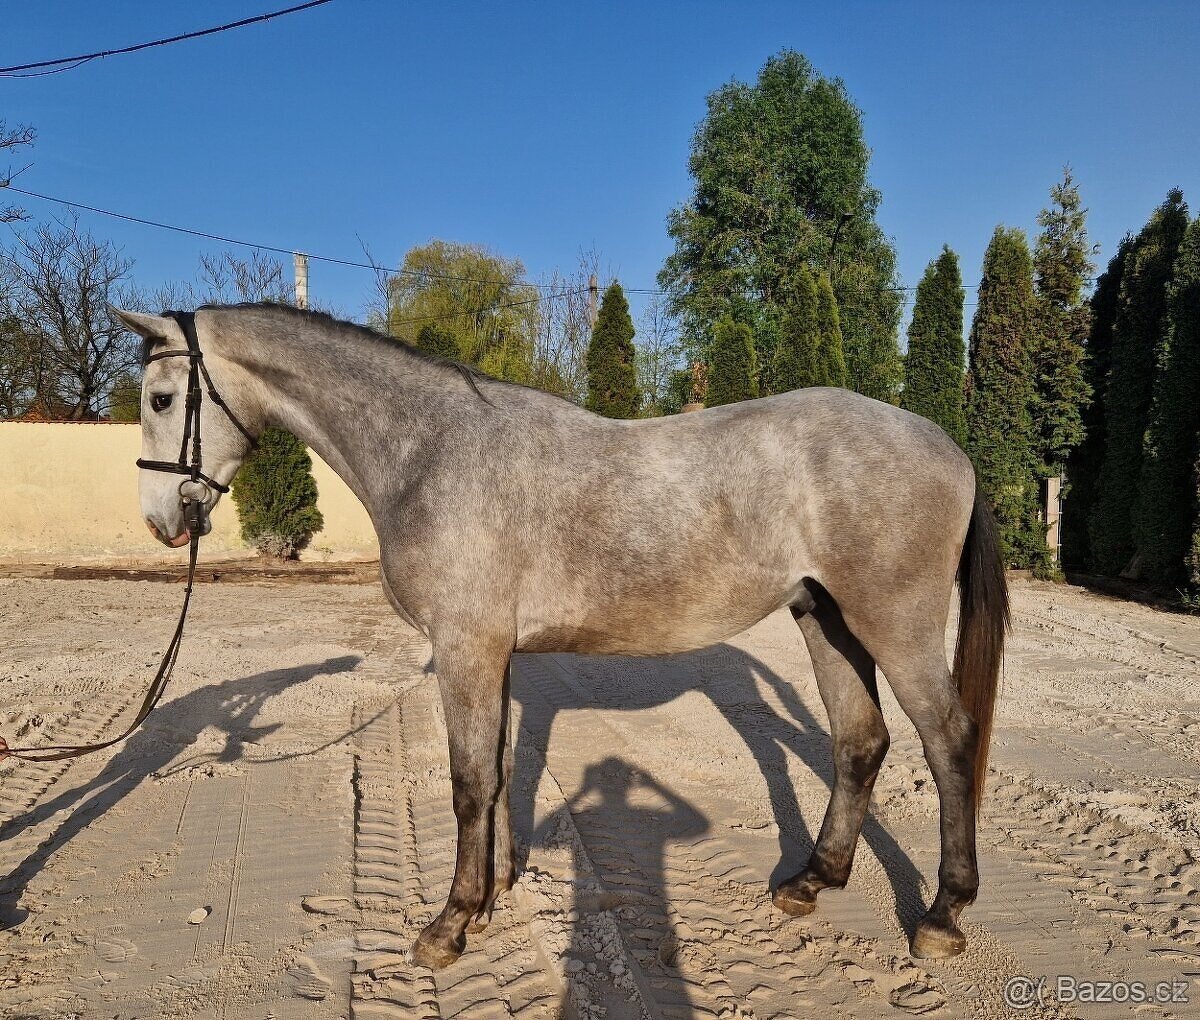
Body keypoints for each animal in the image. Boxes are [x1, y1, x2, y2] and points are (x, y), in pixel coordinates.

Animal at [112, 303, 1008, 969]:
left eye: (160, 400)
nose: (161, 520)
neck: (432, 452)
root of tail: (949, 445)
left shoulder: (466, 649)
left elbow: (469, 780)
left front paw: (450, 923)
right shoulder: (494, 655)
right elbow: (502, 771)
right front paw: (494, 892)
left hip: (894, 624)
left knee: (949, 741)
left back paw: (942, 915)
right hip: (826, 619)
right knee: (861, 741)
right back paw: (812, 881)